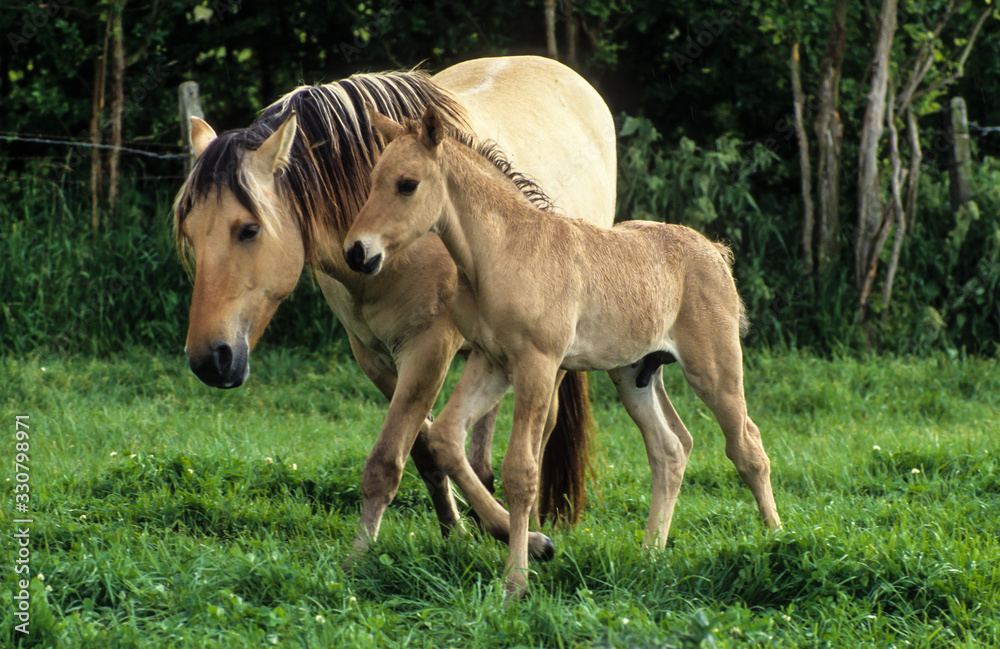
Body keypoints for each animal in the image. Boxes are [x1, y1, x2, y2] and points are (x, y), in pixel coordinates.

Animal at [170, 58, 616, 560]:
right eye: (190, 233)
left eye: (248, 230)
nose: (209, 359)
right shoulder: (374, 356)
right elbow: (425, 449)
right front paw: (458, 530)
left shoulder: (428, 349)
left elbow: (390, 459)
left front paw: (363, 555)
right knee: (480, 443)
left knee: (540, 432)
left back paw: (531, 522)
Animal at [344, 106, 780, 596]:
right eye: (374, 180)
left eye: (407, 184)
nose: (357, 252)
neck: (501, 252)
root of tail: (714, 251)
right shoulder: (491, 361)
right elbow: (446, 437)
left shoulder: (538, 362)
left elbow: (521, 471)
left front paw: (515, 581)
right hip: (634, 376)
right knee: (670, 449)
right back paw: (650, 555)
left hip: (714, 369)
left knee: (747, 446)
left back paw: (776, 540)